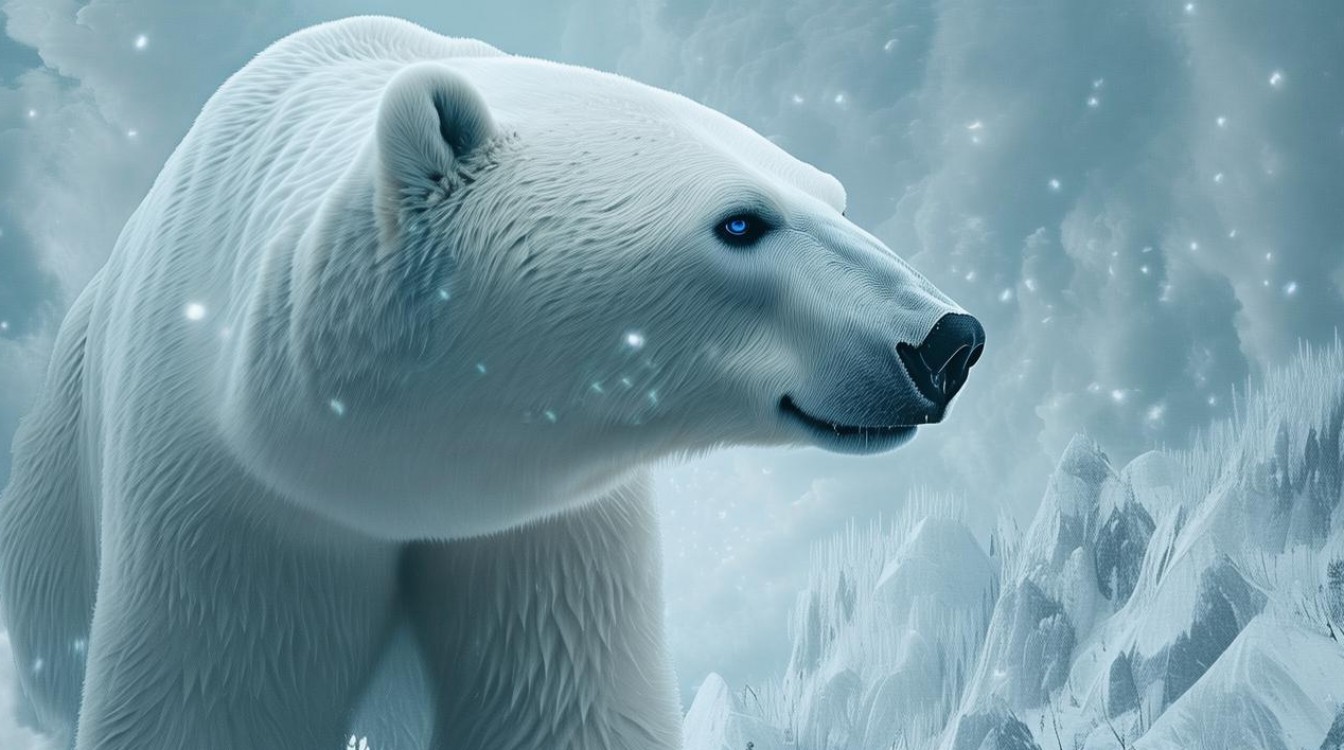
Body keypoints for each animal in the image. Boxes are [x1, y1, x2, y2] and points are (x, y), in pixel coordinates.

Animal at [0, 15, 983, 750]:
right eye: (741, 223)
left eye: (834, 197)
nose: (948, 343)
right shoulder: (228, 495)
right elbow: (209, 701)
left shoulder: (544, 520)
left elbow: (564, 705)